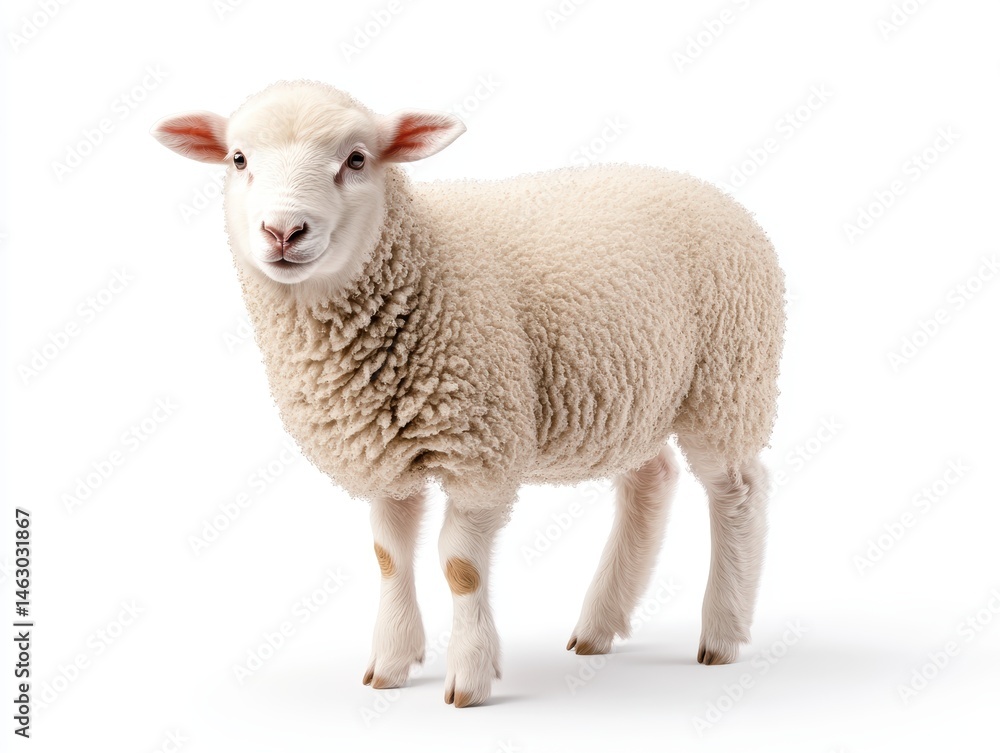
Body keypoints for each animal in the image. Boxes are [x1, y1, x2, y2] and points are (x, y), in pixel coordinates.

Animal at [151, 79, 785, 708]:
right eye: (239, 160)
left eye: (356, 159)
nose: (283, 232)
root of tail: (709, 191)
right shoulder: (383, 451)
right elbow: (389, 556)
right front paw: (391, 663)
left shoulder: (481, 448)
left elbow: (461, 566)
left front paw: (470, 677)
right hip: (633, 394)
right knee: (651, 481)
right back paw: (599, 625)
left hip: (728, 378)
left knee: (737, 491)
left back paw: (722, 632)